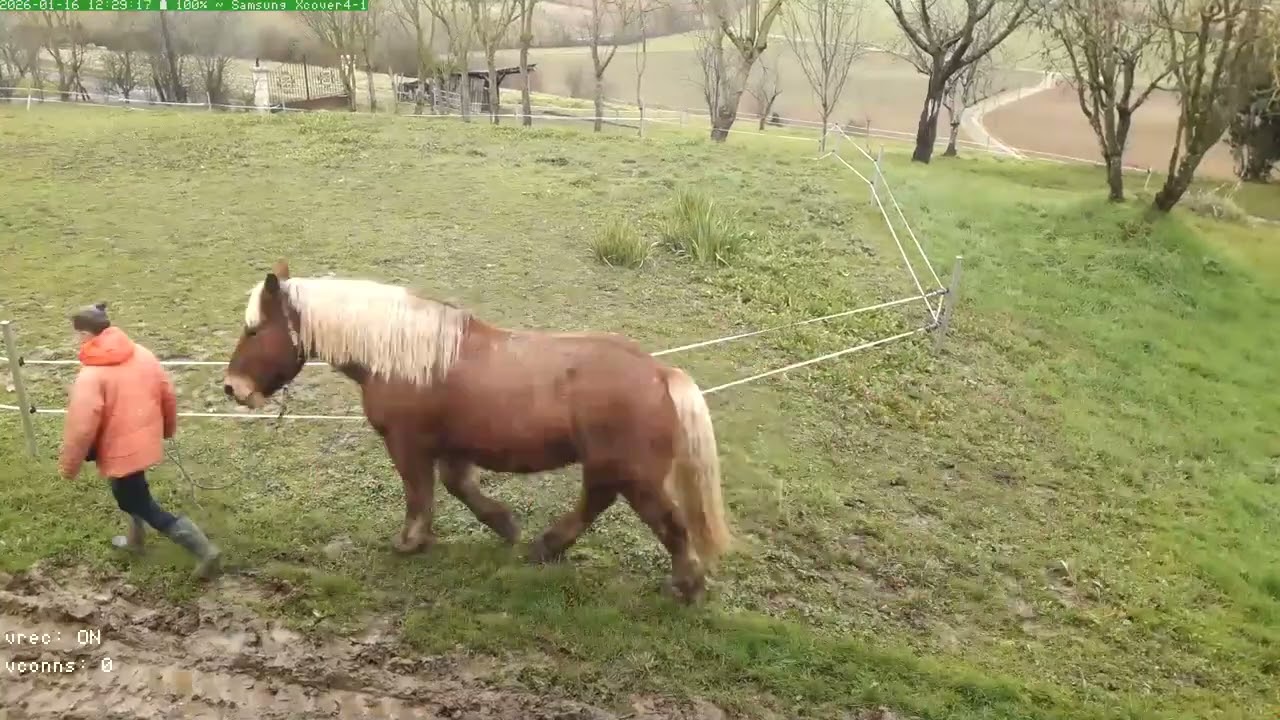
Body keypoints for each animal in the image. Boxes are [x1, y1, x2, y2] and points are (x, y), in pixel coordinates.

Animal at [221, 260, 732, 603]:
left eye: (254, 330)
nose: (232, 387)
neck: (403, 358)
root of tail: (660, 373)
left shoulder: (408, 445)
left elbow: (419, 494)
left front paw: (410, 542)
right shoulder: (451, 447)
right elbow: (458, 487)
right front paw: (504, 524)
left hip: (634, 476)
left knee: (668, 523)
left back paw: (686, 586)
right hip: (612, 470)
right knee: (596, 504)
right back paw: (547, 547)